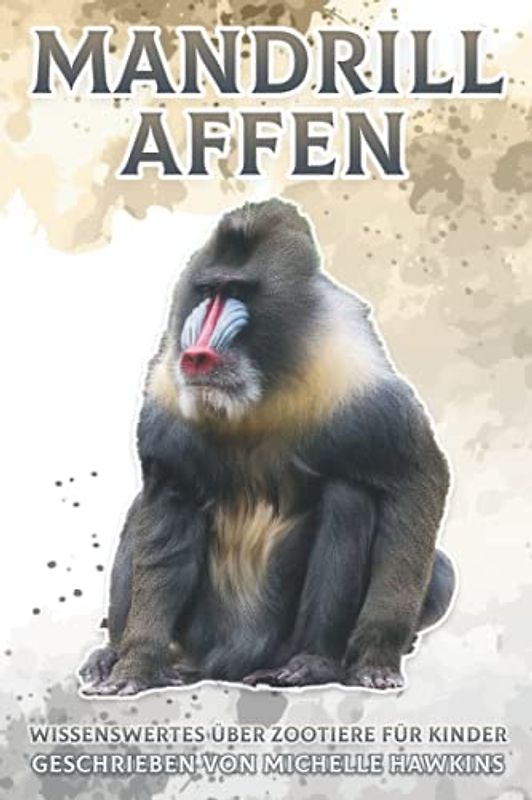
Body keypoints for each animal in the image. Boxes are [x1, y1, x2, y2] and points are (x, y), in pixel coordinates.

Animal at [79, 198, 455, 696]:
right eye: (208, 291)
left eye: (237, 290)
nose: (196, 354)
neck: (258, 395)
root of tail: (228, 664)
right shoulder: (166, 406)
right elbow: (163, 517)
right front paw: (136, 665)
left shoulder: (360, 386)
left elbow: (417, 482)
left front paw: (376, 659)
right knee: (140, 507)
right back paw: (123, 658)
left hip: (279, 637)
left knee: (351, 497)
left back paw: (310, 664)